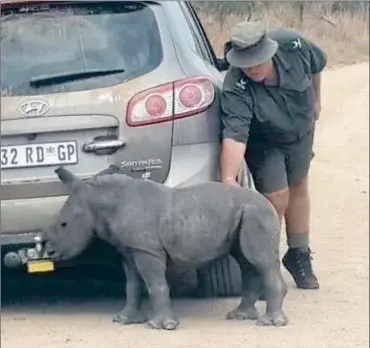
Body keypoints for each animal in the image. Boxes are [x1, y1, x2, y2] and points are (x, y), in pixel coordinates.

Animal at [41, 167, 290, 330]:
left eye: (63, 224)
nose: (49, 251)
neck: (101, 200)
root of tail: (268, 203)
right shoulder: (130, 249)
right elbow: (132, 285)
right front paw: (125, 320)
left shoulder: (147, 250)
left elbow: (155, 283)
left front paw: (160, 325)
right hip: (245, 215)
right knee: (246, 261)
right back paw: (240, 316)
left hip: (256, 214)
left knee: (259, 261)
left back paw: (270, 323)